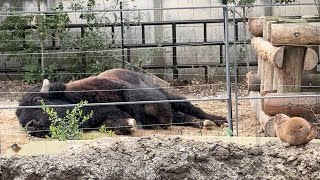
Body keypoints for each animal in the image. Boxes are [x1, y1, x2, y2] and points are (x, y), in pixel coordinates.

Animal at [15, 68, 228, 137]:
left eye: (37, 100)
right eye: (18, 117)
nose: (30, 125)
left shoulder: (129, 92)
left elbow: (150, 107)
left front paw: (157, 120)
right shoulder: (105, 119)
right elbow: (117, 123)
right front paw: (131, 124)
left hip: (171, 94)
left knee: (190, 108)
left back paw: (217, 120)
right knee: (182, 116)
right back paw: (203, 123)